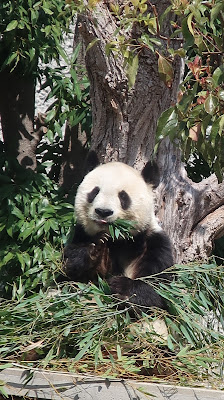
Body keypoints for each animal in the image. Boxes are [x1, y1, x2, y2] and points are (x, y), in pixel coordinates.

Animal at [63, 152, 173, 310]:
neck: (117, 240)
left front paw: (120, 286)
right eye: (94, 192)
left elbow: (158, 290)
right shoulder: (81, 234)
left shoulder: (153, 243)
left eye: (123, 196)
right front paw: (93, 251)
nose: (103, 212)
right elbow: (68, 274)